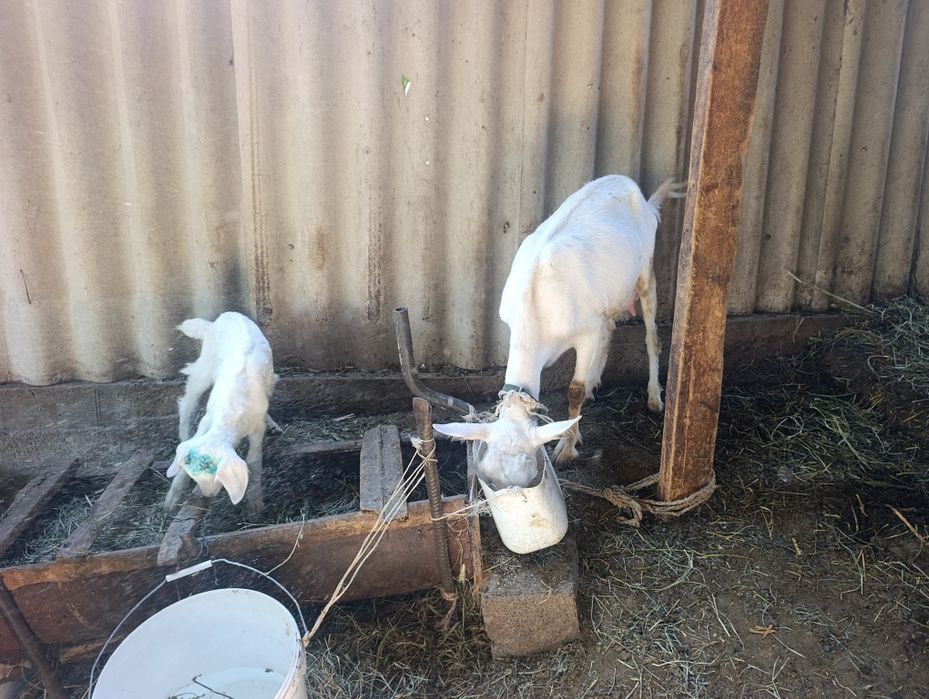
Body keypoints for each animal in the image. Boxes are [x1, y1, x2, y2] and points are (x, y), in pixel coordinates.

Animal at [164, 312, 281, 517]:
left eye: (218, 476)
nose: (208, 494)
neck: (229, 419)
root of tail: (219, 319)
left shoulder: (256, 427)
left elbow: (254, 462)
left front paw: (255, 504)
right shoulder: (207, 419)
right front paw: (172, 498)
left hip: (269, 379)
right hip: (206, 366)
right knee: (187, 402)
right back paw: (184, 433)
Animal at [435, 175, 682, 484]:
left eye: (530, 470)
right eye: (489, 477)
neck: (535, 309)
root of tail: (632, 187)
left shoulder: (586, 333)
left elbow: (574, 390)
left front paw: (566, 449)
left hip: (645, 271)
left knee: (651, 336)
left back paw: (653, 397)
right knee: (610, 326)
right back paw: (595, 384)